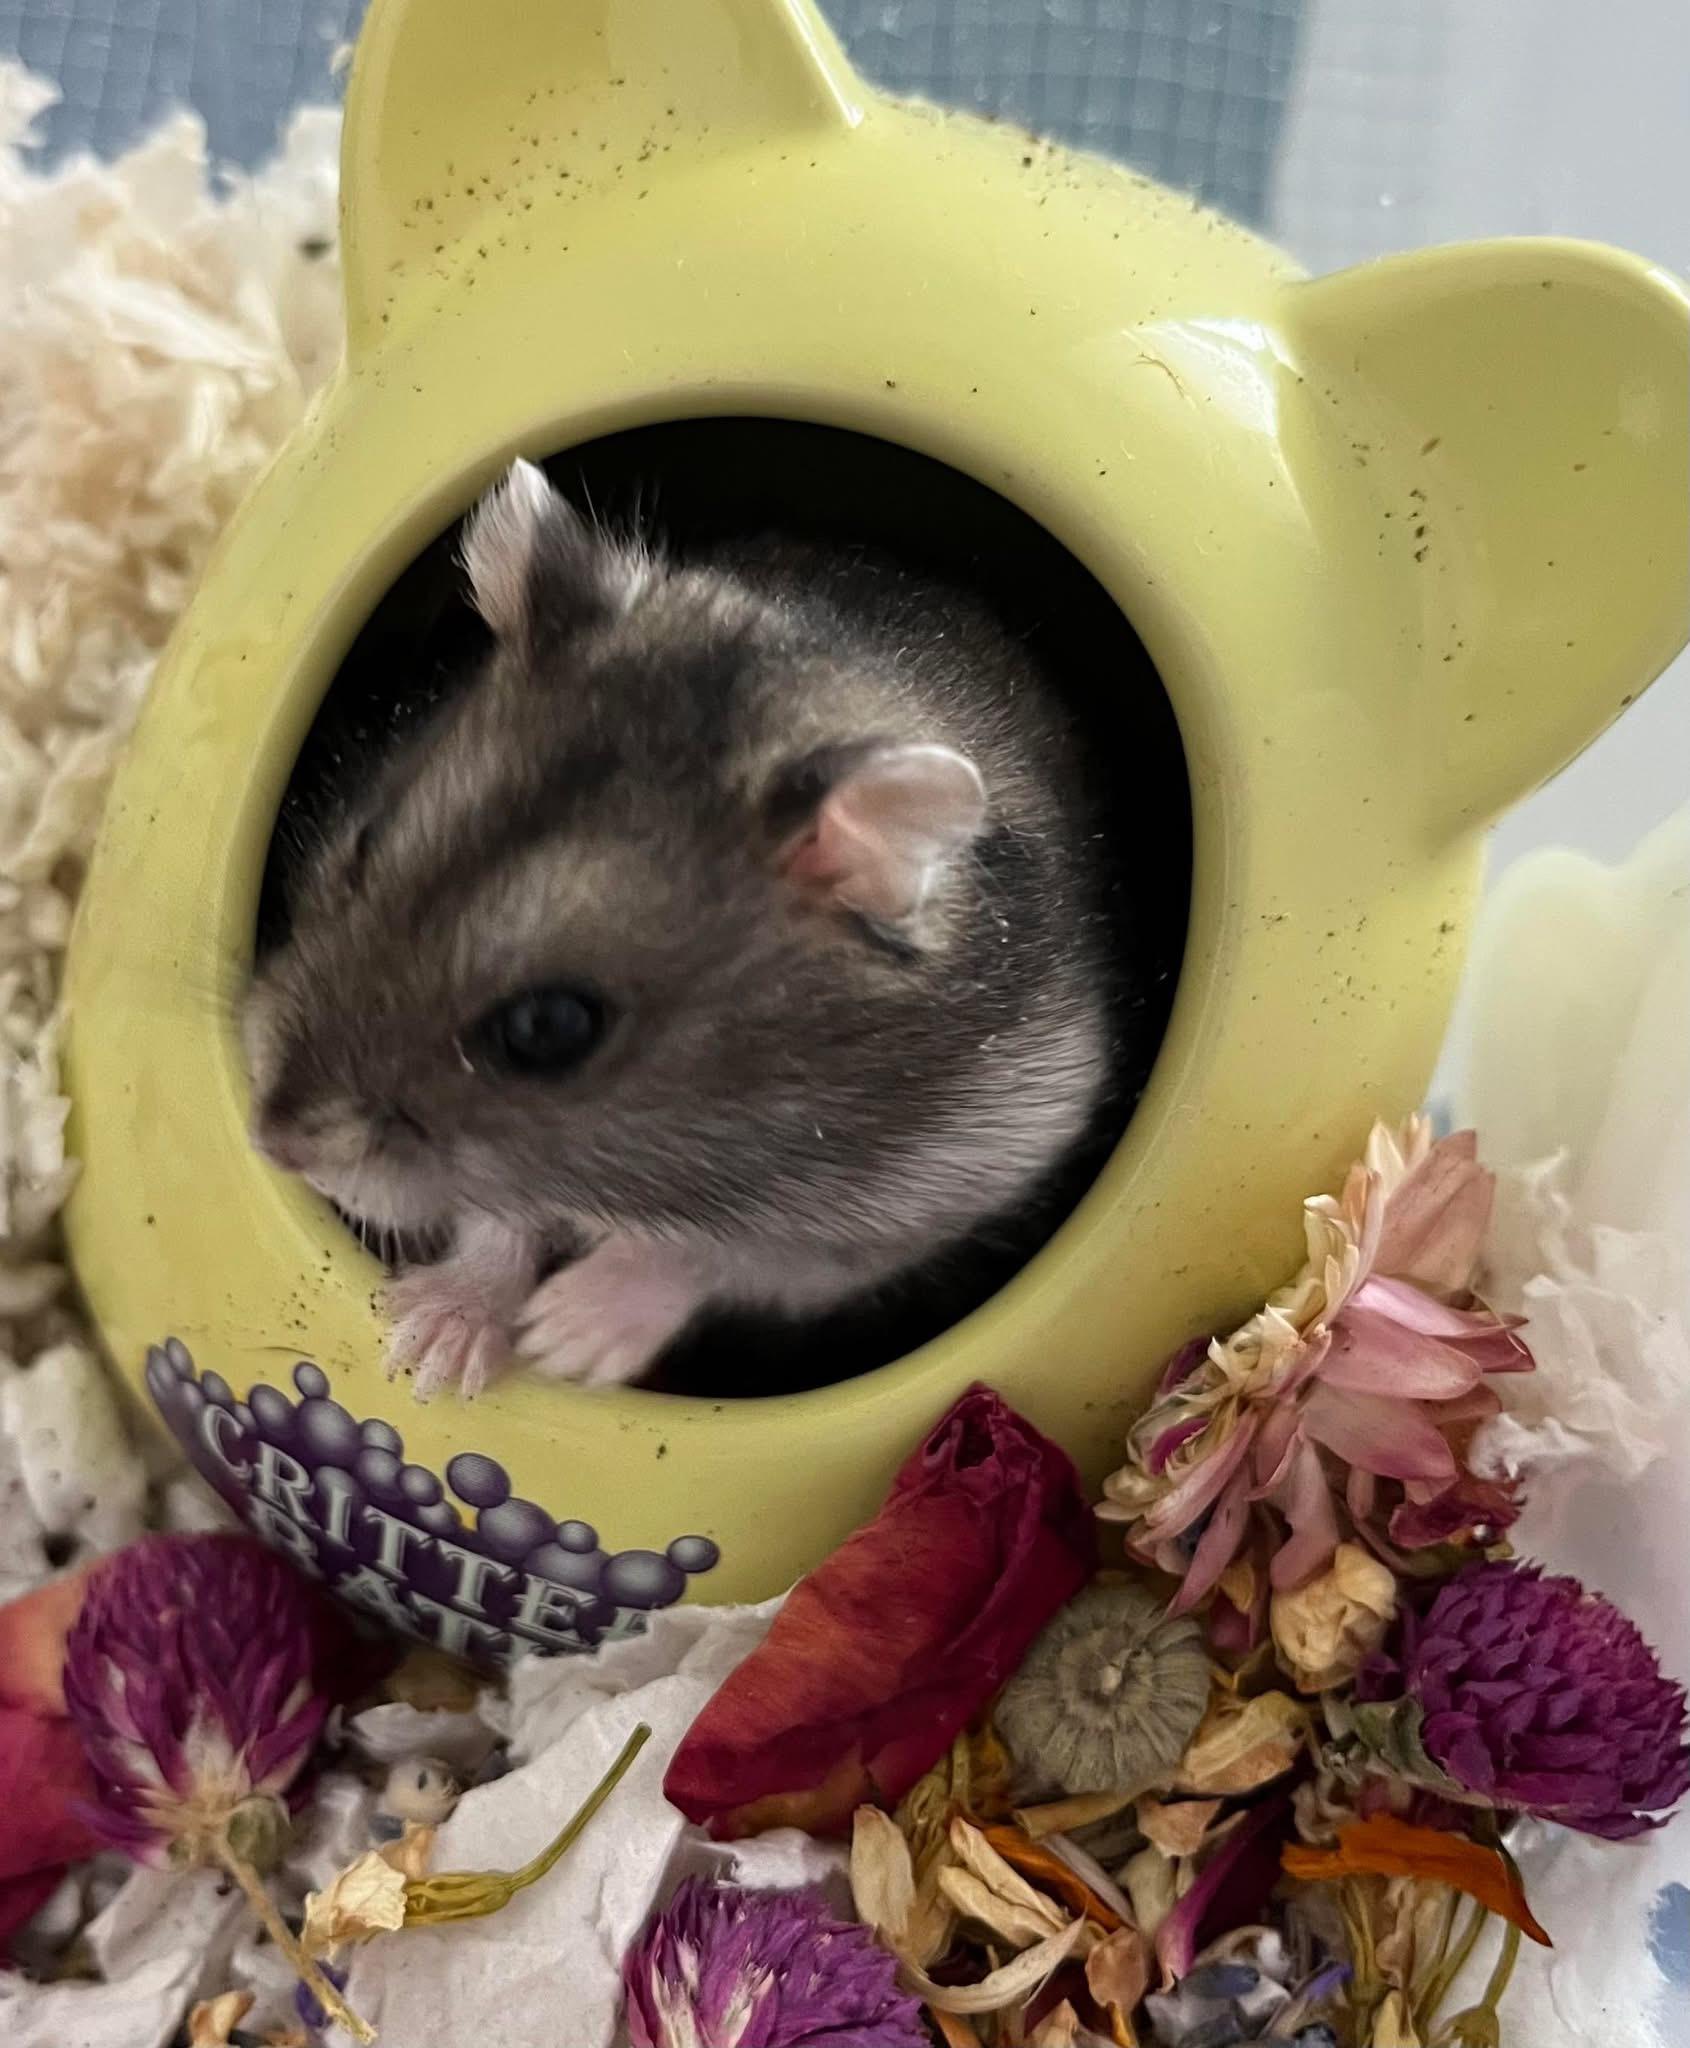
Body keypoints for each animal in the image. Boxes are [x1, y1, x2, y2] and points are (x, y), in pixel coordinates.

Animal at [244, 459, 1130, 1397]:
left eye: (548, 1029)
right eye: (364, 845)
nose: (273, 1146)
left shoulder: (928, 1193)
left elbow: (714, 1255)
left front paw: (563, 1339)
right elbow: (499, 1218)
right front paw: (429, 1348)